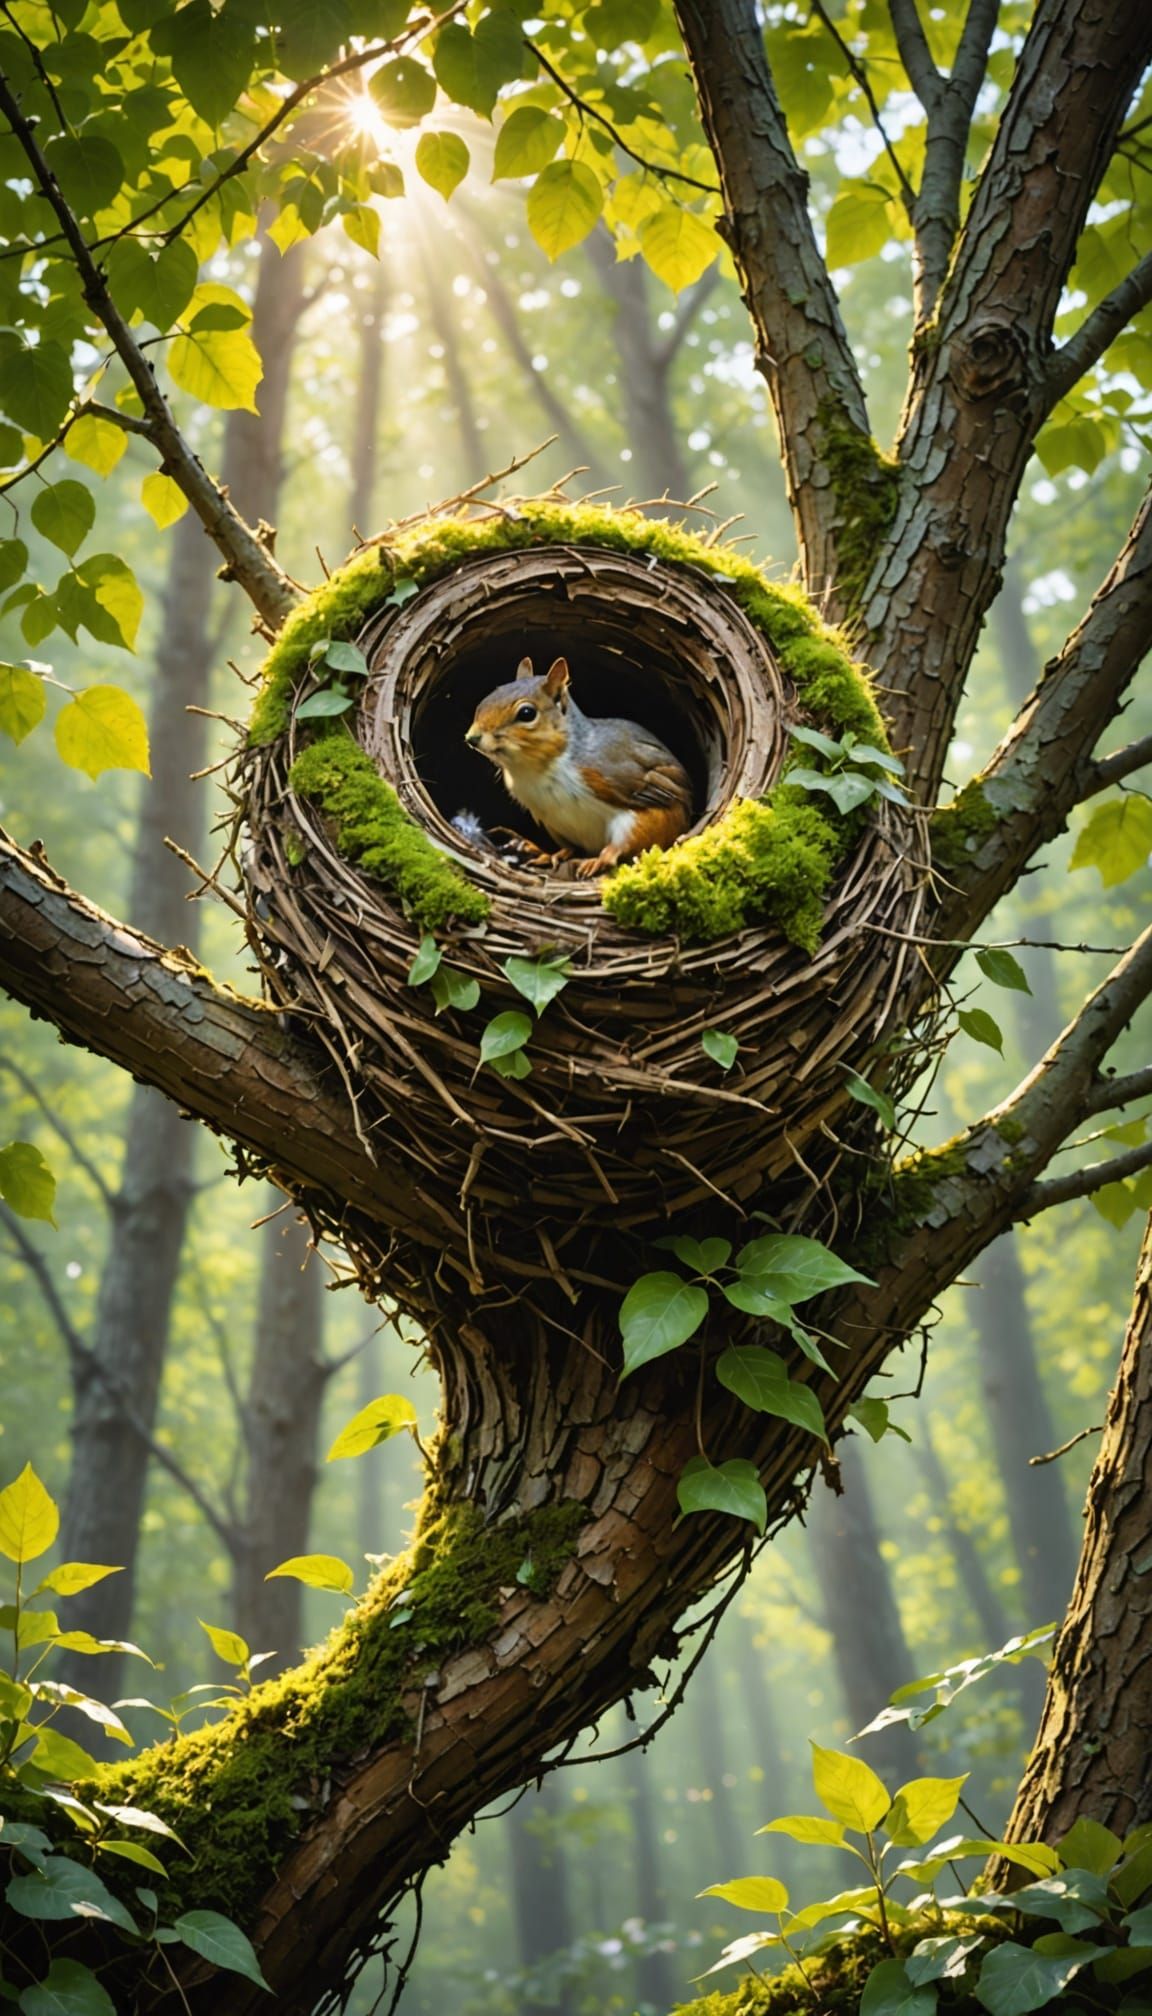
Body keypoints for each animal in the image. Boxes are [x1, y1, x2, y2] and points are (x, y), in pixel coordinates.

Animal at [465, 656, 693, 876]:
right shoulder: (553, 822)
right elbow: (569, 848)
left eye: (527, 713)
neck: (538, 769)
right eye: (486, 700)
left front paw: (598, 860)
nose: (472, 738)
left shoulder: (630, 809)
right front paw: (549, 854)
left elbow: (618, 847)